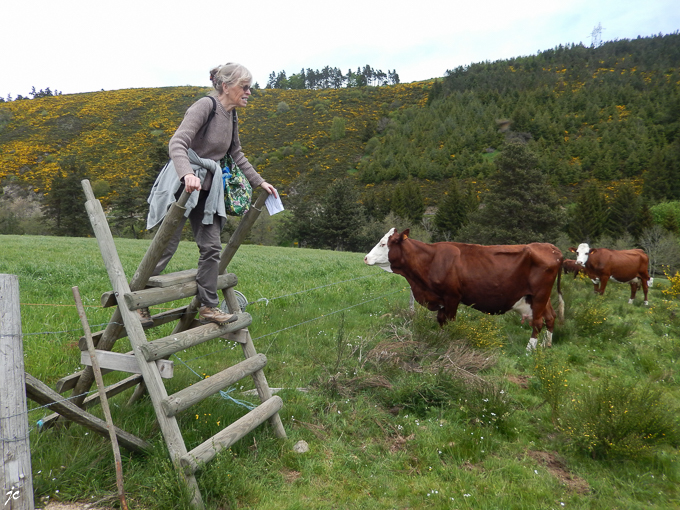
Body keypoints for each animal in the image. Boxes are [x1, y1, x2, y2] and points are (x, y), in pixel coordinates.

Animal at [364, 230, 564, 350]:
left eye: (383, 244)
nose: (365, 258)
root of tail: (551, 248)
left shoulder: (452, 297)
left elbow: (450, 322)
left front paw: (450, 342)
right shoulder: (441, 300)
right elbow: (441, 321)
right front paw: (441, 339)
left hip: (540, 295)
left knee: (537, 323)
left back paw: (529, 350)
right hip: (537, 298)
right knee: (550, 317)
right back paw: (546, 346)